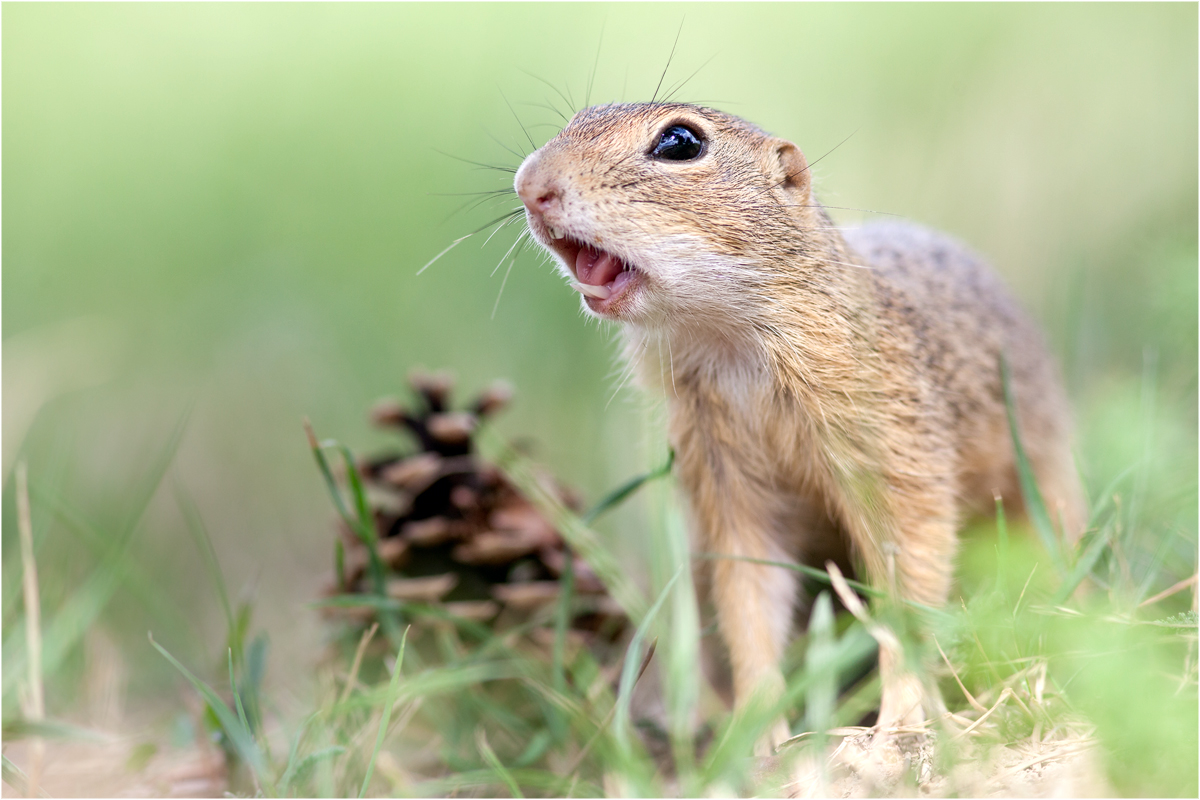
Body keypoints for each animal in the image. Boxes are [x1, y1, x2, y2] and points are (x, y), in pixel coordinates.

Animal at [511, 103, 1084, 753]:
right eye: (576, 117)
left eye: (680, 142)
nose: (529, 184)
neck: (730, 348)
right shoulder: (729, 489)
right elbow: (749, 604)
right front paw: (757, 735)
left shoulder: (898, 455)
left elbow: (909, 582)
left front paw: (899, 721)